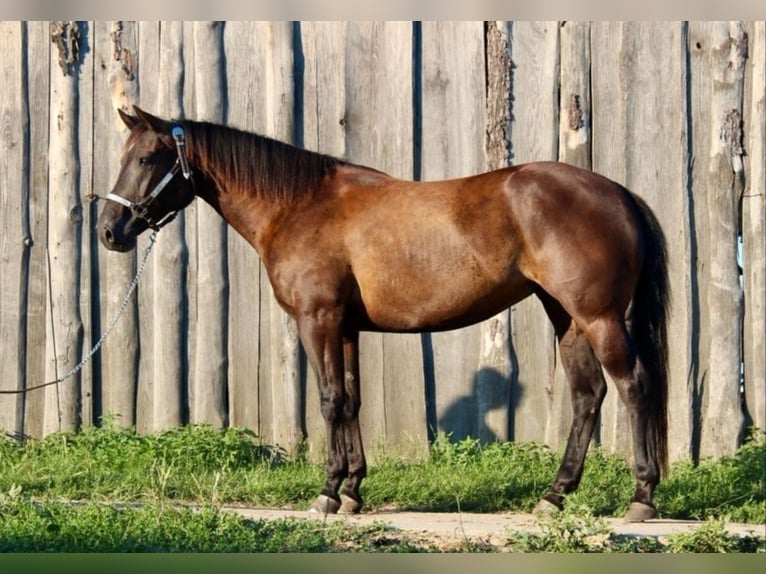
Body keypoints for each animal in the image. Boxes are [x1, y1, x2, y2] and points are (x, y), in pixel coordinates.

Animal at [97, 106, 670, 522]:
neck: (299, 205)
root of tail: (617, 192)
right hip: (566, 317)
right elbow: (351, 401)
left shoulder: (318, 320)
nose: (109, 230)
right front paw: (353, 490)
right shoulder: (347, 327)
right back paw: (555, 496)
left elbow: (329, 401)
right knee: (587, 396)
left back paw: (641, 498)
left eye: (146, 158)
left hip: (597, 316)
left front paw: (327, 492)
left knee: (633, 387)